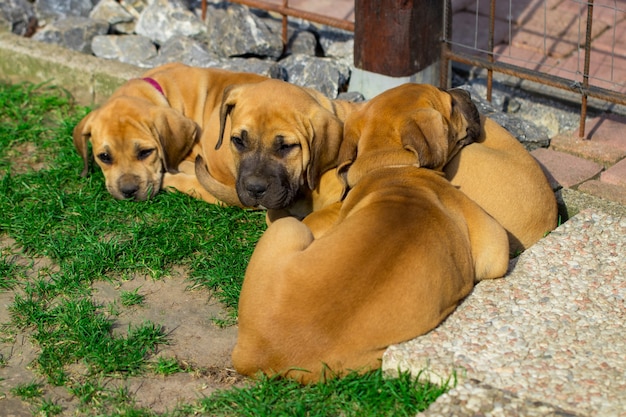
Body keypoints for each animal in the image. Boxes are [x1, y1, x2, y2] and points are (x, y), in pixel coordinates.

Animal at [232, 83, 510, 384]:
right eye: (451, 103)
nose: (467, 93)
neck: (393, 169)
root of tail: (256, 355)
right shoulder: (495, 244)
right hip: (291, 227)